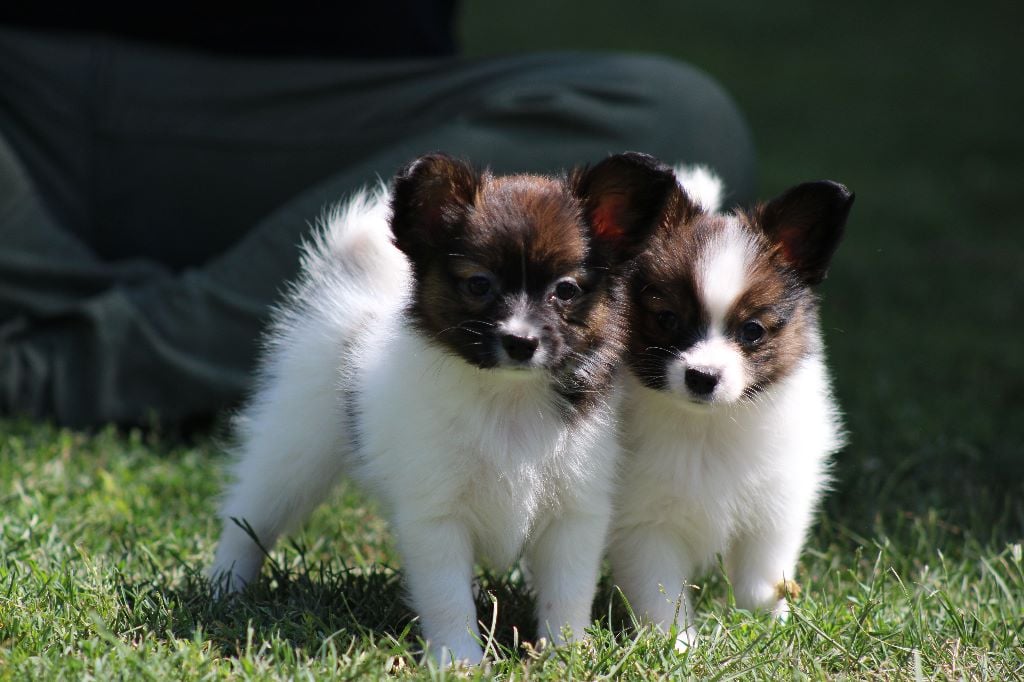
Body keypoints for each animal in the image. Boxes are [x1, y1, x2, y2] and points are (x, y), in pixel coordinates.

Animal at [209, 151, 679, 659]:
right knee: (252, 514)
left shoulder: (574, 511)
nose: (520, 342)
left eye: (567, 290)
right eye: (478, 285)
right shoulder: (436, 516)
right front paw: (460, 660)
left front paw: (564, 654)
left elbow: (567, 595)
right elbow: (448, 599)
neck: (509, 399)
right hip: (295, 444)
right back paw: (225, 587)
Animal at [606, 171, 856, 647]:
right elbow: (662, 595)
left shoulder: (776, 504)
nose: (702, 376)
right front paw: (679, 647)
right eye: (666, 319)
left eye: (752, 330)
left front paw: (769, 629)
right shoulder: (645, 522)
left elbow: (763, 580)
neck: (709, 428)